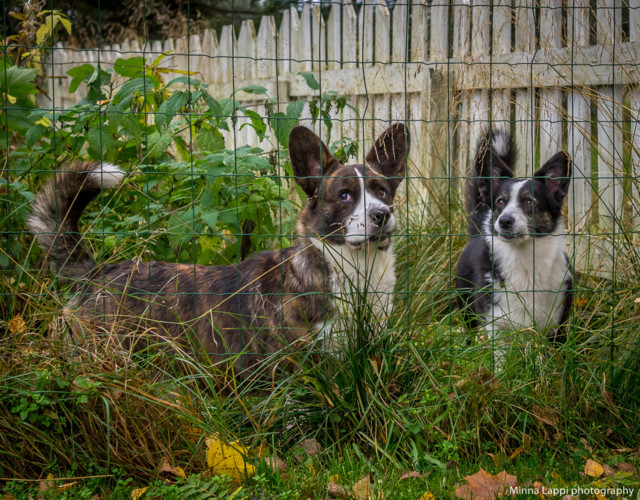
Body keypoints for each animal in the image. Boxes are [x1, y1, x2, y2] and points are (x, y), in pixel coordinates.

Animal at [458, 132, 572, 360]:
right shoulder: (497, 325)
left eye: (529, 202)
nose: (504, 221)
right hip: (466, 308)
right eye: (500, 202)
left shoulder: (555, 326)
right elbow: (501, 361)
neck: (524, 261)